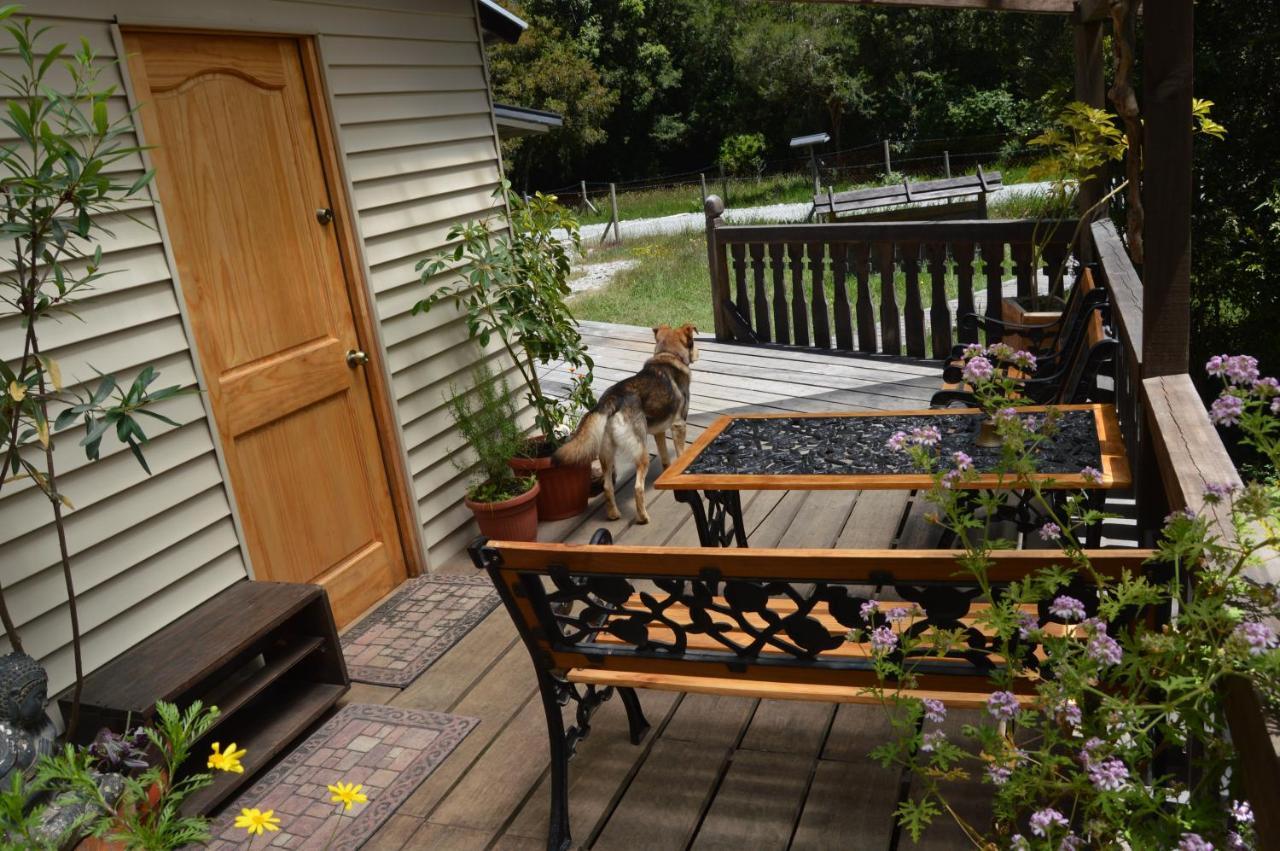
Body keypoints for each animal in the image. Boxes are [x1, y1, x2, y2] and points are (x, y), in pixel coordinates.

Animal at [552, 323, 701, 522]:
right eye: (693, 341)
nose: (699, 353)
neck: (668, 355)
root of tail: (610, 400)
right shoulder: (679, 424)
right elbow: (681, 454)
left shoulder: (659, 431)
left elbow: (665, 458)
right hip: (641, 452)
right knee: (637, 488)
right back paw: (643, 517)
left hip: (606, 453)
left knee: (607, 487)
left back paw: (614, 514)